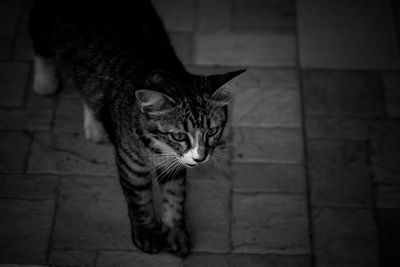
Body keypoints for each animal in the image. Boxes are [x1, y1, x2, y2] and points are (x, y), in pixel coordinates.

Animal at [29, 0, 244, 258]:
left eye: (212, 132)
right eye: (179, 135)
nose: (200, 158)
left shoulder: (174, 163)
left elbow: (175, 194)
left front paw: (175, 231)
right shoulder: (130, 162)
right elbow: (139, 199)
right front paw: (147, 234)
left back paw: (94, 121)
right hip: (47, 24)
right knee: (40, 43)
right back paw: (45, 80)